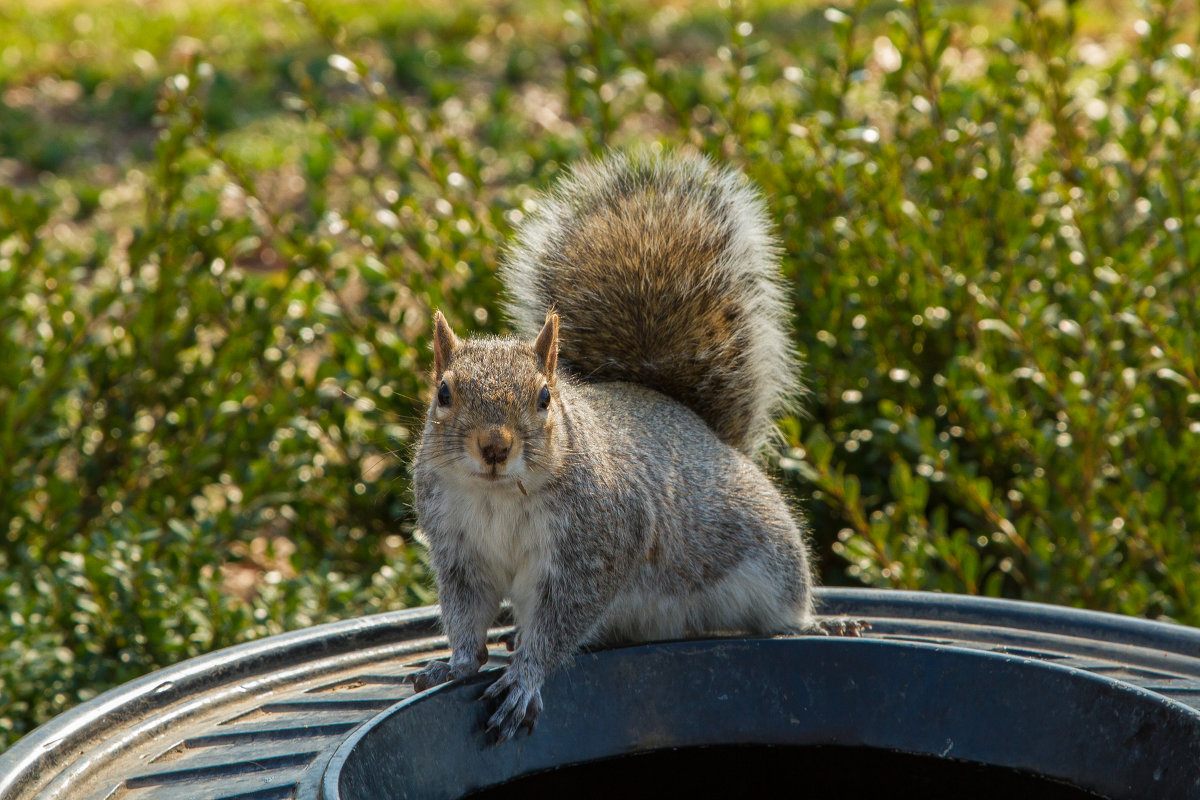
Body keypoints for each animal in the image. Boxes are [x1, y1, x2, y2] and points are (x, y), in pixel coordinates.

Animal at [408, 151, 849, 743]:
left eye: (545, 397)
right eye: (443, 393)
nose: (494, 447)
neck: (498, 495)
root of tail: (703, 428)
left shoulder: (597, 546)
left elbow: (560, 623)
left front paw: (525, 678)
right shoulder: (459, 550)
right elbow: (464, 615)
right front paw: (453, 664)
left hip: (773, 558)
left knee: (785, 610)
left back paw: (823, 625)